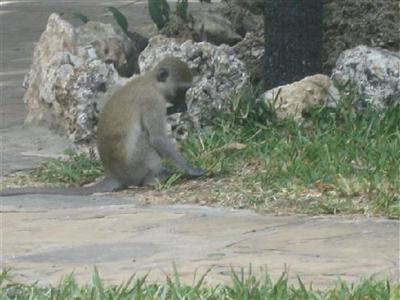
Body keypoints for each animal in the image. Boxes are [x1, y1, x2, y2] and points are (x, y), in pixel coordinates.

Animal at [0, 56, 205, 197]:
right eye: (182, 90)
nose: (184, 105)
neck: (151, 82)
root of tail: (116, 175)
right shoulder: (152, 102)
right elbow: (157, 138)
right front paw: (191, 169)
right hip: (135, 166)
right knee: (145, 139)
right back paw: (151, 179)